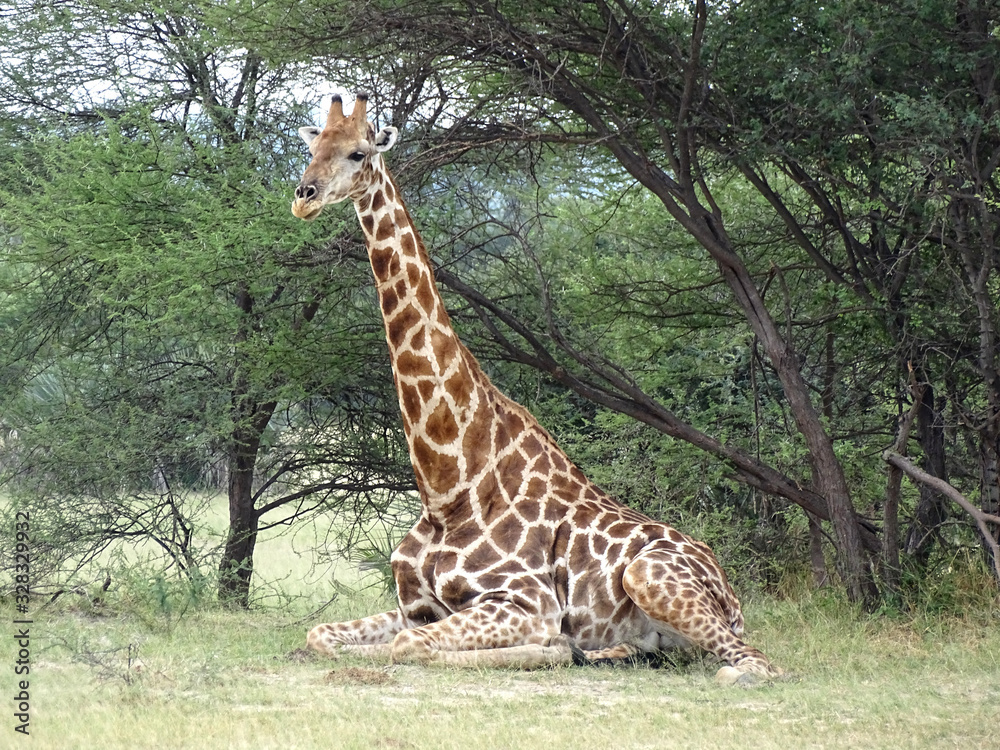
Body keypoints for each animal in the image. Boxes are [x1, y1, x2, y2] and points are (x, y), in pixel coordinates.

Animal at [291, 93, 778, 681]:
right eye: (313, 147)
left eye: (358, 153)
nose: (304, 197)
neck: (447, 487)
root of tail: (730, 590)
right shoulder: (415, 606)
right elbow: (321, 635)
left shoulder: (524, 602)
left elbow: (412, 647)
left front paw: (552, 648)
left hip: (650, 578)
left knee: (755, 663)